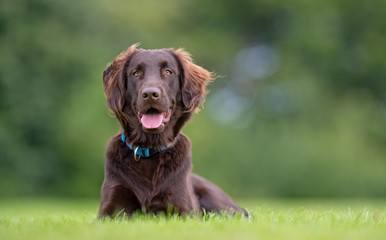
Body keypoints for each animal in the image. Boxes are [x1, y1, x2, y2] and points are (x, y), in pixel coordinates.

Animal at [98, 44, 246, 218]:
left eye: (168, 72)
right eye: (136, 73)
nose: (150, 94)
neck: (150, 148)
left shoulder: (183, 210)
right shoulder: (110, 208)